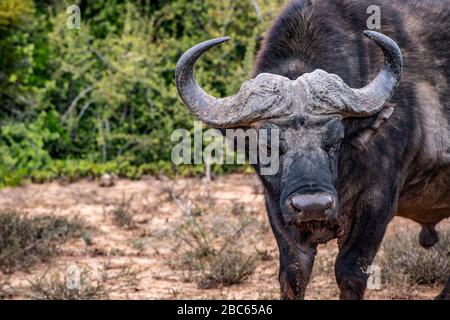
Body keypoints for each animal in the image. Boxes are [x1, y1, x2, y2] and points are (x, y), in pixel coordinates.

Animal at [174, 0, 448, 300]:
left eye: (335, 141)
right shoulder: (277, 206)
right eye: (267, 146)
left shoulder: (378, 201)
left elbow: (350, 272)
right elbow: (294, 273)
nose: (312, 206)